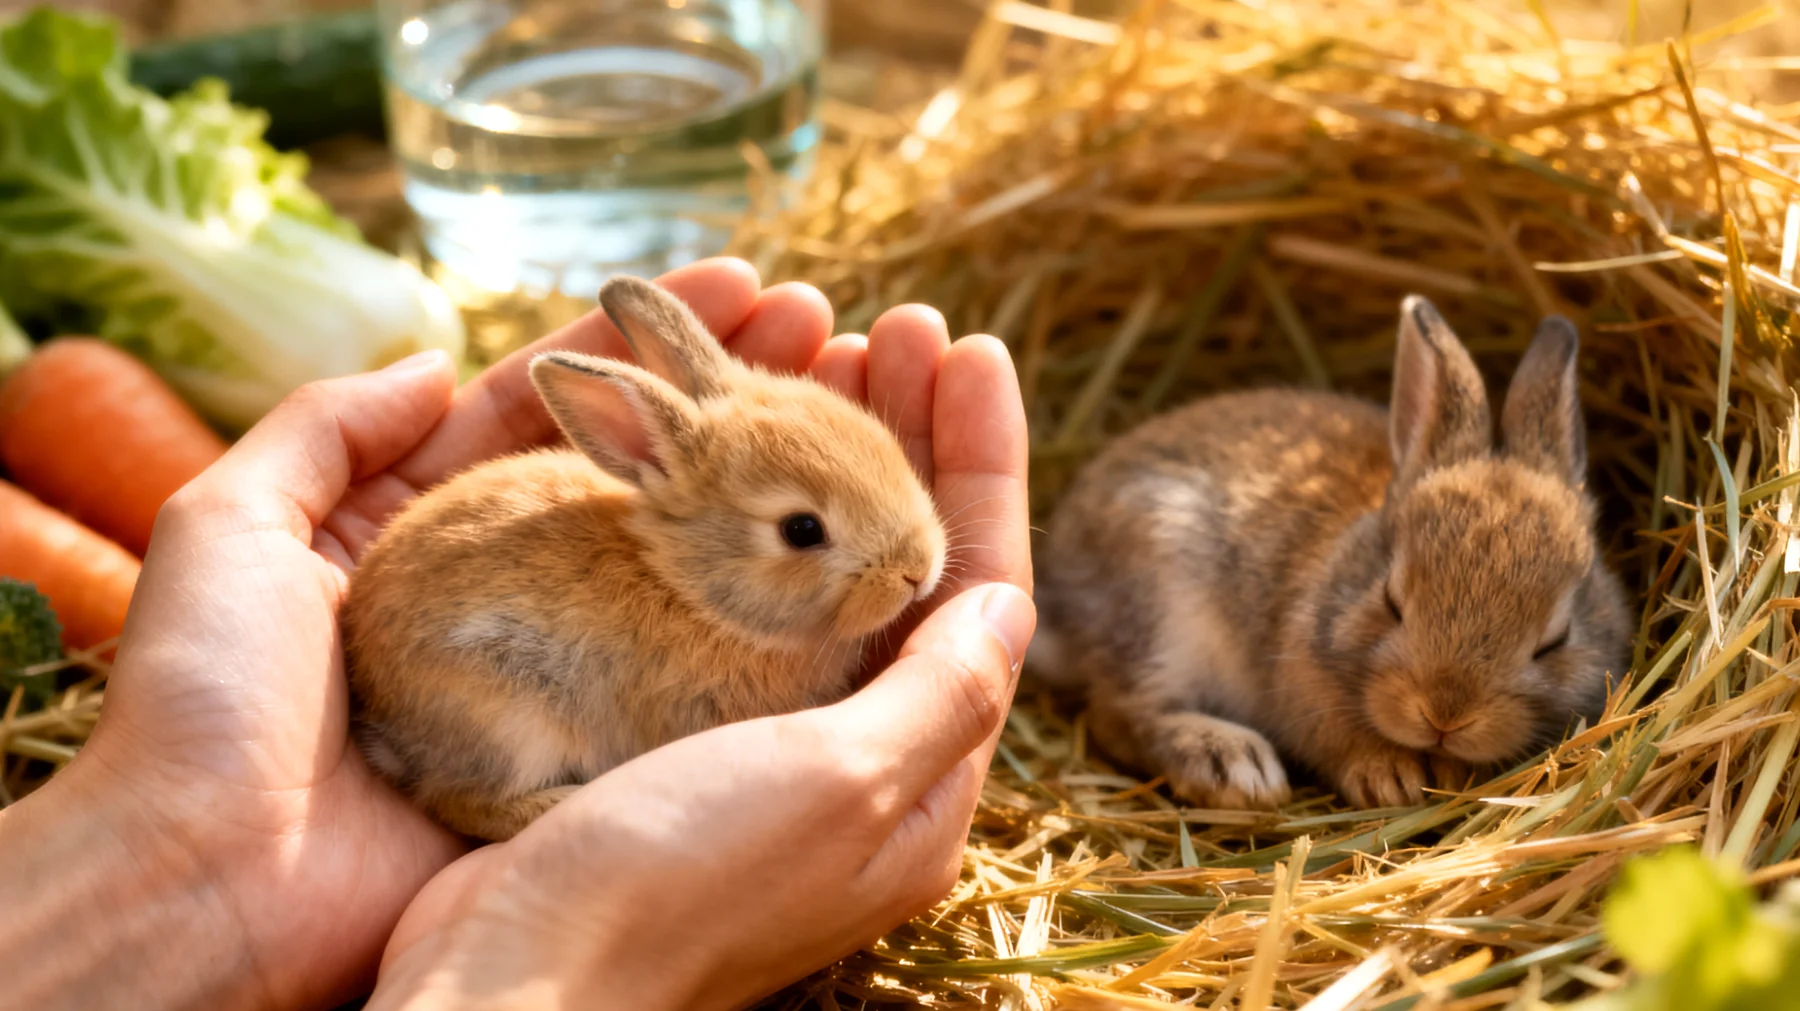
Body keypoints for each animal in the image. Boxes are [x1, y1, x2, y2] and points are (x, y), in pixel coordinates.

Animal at [341, 276, 948, 841]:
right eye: (802, 530)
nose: (917, 571)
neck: (690, 590)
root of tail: (376, 706)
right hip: (510, 722)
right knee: (457, 800)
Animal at [1031, 295, 1632, 810]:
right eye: (1391, 601)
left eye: (1556, 640)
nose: (1444, 715)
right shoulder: (1303, 684)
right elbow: (1334, 737)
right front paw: (1389, 777)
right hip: (1163, 604)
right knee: (1120, 713)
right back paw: (1232, 764)